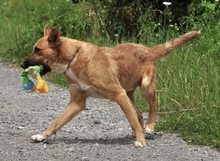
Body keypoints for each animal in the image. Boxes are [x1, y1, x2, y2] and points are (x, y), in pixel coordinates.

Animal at [21, 25, 201, 147]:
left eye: (37, 50)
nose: (22, 65)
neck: (74, 57)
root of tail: (148, 49)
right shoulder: (77, 103)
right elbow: (56, 122)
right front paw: (42, 135)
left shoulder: (118, 94)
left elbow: (133, 122)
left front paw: (141, 141)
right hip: (129, 95)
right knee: (138, 114)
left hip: (146, 88)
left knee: (153, 107)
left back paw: (149, 127)